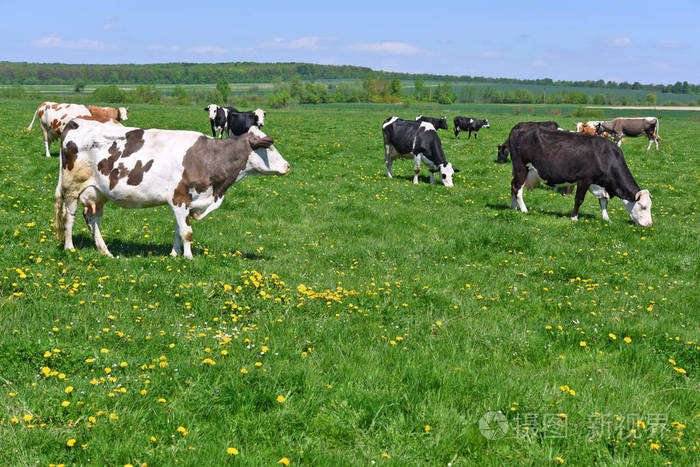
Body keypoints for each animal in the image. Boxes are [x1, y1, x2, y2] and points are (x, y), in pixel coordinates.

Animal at [54, 118, 290, 260]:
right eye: (268, 146)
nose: (287, 166)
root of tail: (76, 121)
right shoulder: (179, 197)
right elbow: (187, 232)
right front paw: (189, 257)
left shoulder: (186, 201)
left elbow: (178, 229)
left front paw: (175, 254)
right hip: (72, 187)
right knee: (69, 216)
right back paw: (70, 248)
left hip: (98, 192)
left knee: (92, 218)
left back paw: (105, 251)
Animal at [506, 124, 652, 227]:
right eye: (643, 206)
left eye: (650, 206)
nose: (649, 224)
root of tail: (518, 127)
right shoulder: (584, 180)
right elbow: (579, 200)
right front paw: (574, 218)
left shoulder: (599, 184)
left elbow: (603, 202)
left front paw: (607, 219)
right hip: (521, 167)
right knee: (517, 188)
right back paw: (524, 210)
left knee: (512, 185)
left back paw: (514, 207)